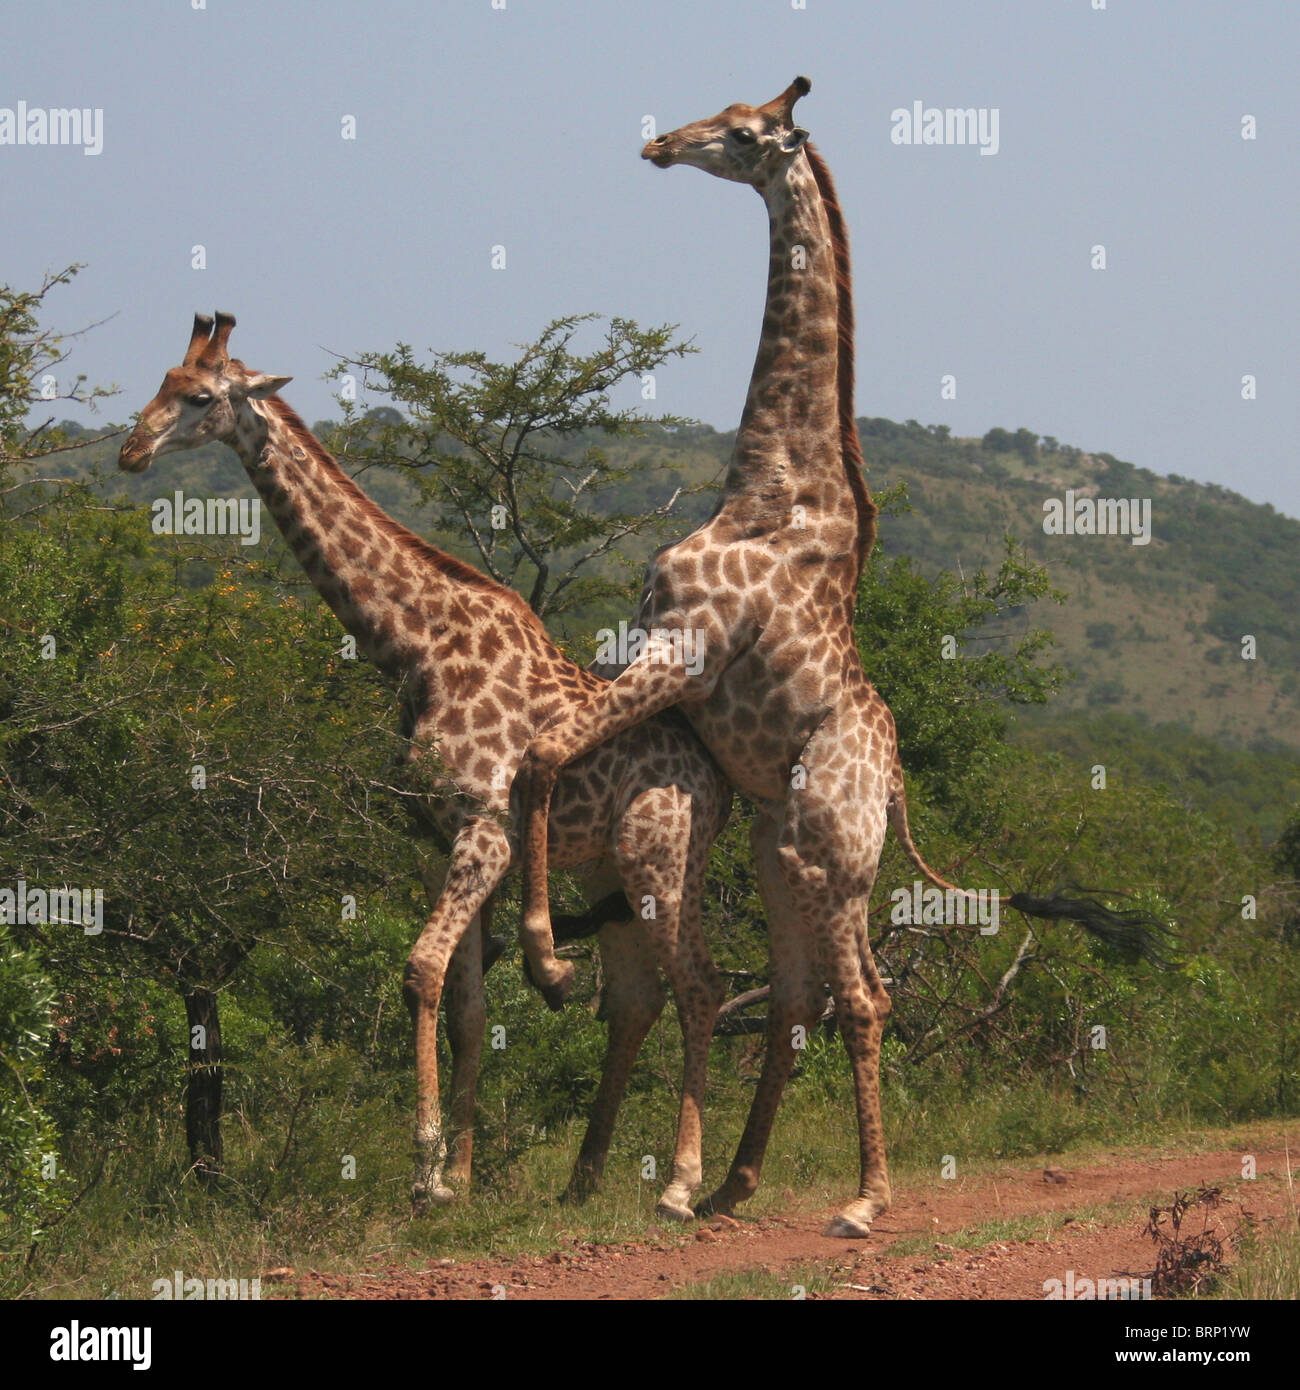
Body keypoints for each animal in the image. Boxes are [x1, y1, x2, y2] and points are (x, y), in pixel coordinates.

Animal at [117, 312, 733, 1219]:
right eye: (161, 380)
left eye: (198, 396)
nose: (132, 450)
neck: (414, 647)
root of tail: (717, 782)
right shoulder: (443, 842)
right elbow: (468, 1005)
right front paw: (464, 1176)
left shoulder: (485, 832)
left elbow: (419, 972)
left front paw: (424, 1174)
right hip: (611, 870)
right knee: (637, 1000)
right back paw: (583, 1179)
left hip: (665, 854)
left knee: (700, 987)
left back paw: (682, 1185)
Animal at [513, 78, 1170, 1237]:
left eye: (740, 135)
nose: (660, 144)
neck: (771, 482)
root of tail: (896, 789)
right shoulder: (655, 656)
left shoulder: (679, 648)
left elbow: (548, 747)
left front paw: (547, 957)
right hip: (786, 853)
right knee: (801, 993)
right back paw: (732, 1183)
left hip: (831, 853)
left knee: (863, 995)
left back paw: (862, 1199)